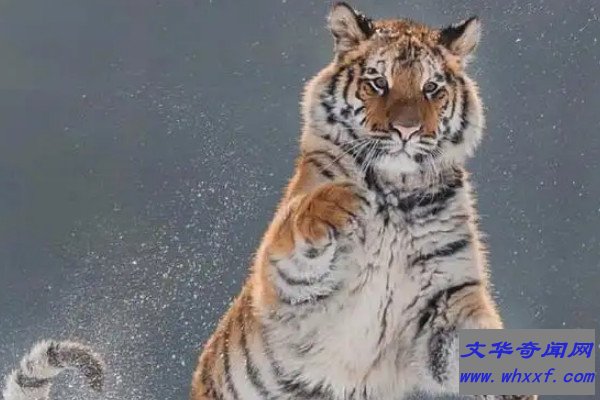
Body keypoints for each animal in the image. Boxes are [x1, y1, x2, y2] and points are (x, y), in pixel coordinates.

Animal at [190, 2, 536, 400]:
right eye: (378, 82)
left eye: (431, 88)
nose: (407, 130)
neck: (395, 193)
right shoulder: (284, 278)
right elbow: (298, 224)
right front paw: (341, 201)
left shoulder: (446, 298)